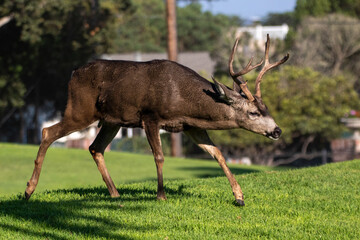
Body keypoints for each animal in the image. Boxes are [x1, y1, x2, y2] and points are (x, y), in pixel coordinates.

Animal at [25, 34, 288, 205]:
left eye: (267, 109)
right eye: (253, 113)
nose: (277, 130)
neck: (183, 100)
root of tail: (72, 74)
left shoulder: (190, 126)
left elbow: (218, 153)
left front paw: (239, 196)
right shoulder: (150, 117)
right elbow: (159, 156)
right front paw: (161, 195)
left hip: (112, 120)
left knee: (94, 147)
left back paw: (115, 194)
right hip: (80, 109)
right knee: (47, 132)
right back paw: (29, 190)